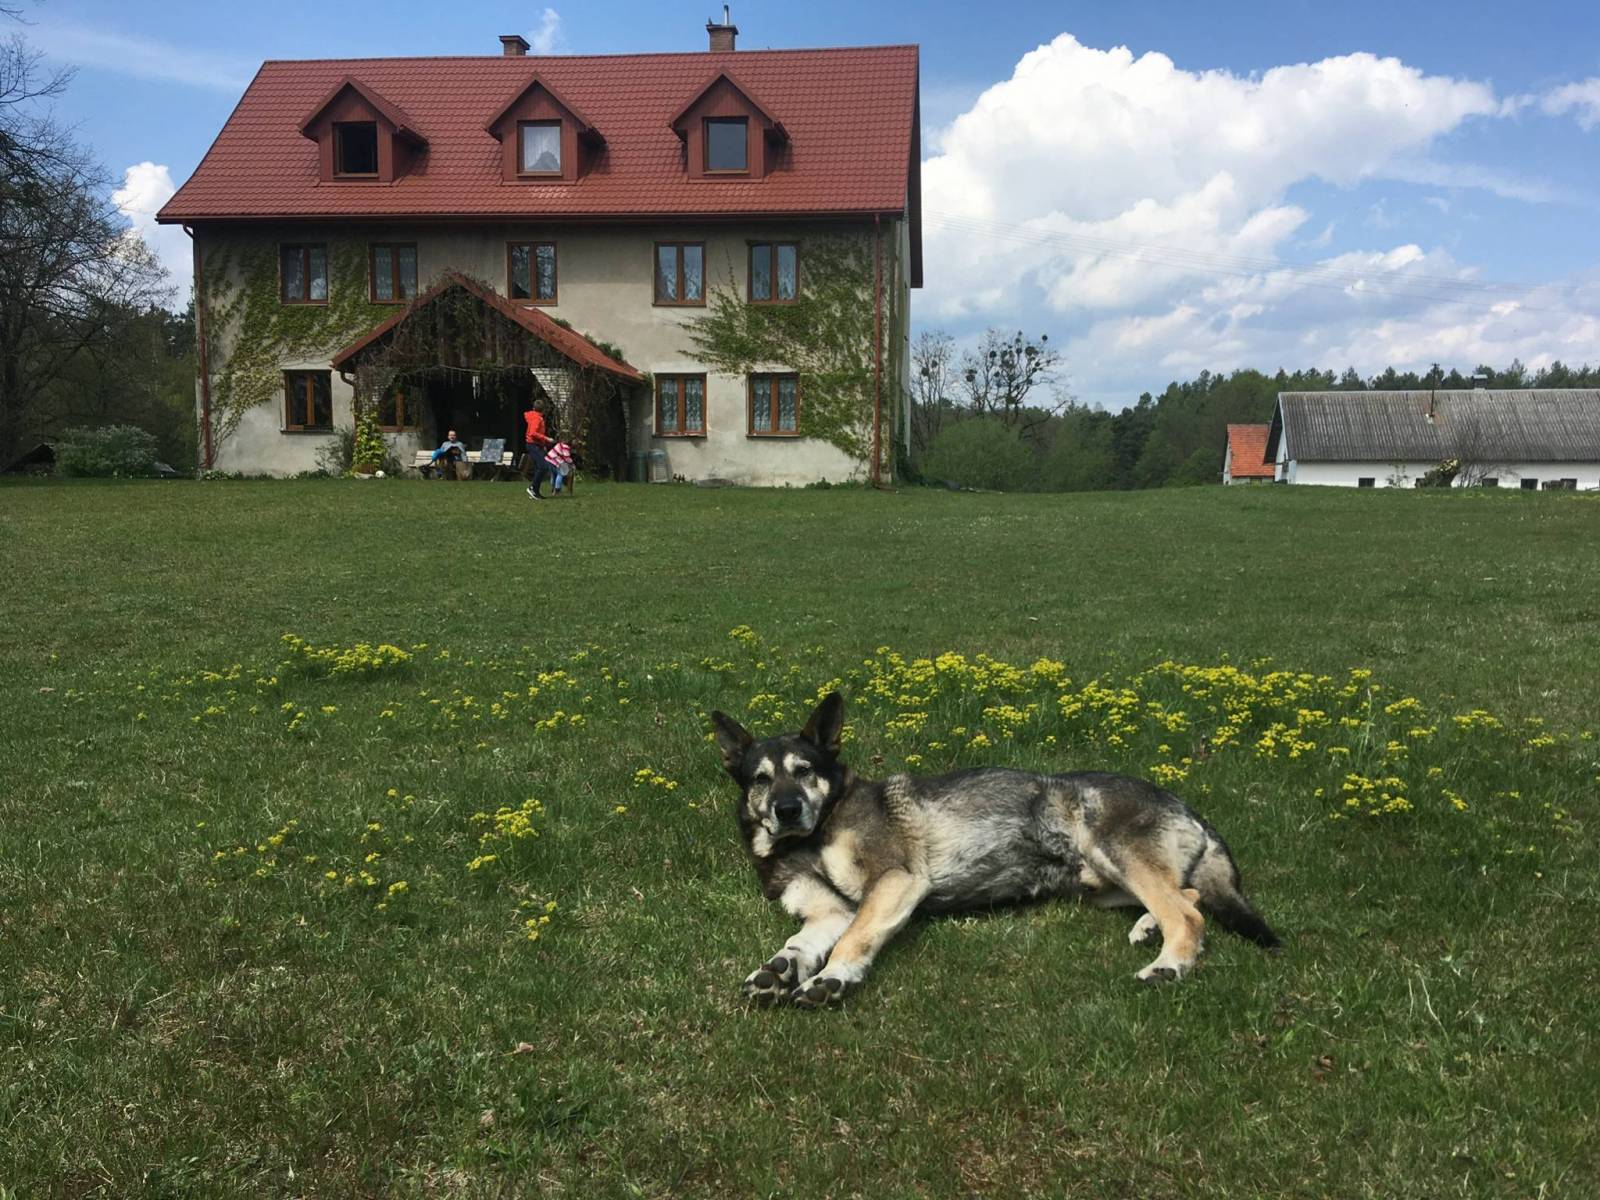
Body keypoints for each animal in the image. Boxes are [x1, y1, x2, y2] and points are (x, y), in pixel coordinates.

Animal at [710, 693, 1280, 1008]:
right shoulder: (829, 911)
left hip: (1114, 851)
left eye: (804, 770)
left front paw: (831, 979)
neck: (810, 838)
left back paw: (1168, 964)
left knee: (1187, 912)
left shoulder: (894, 883)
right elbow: (801, 940)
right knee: (1187, 893)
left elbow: (854, 939)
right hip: (1099, 884)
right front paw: (781, 969)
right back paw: (1146, 927)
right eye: (761, 779)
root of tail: (1183, 803)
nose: (786, 810)